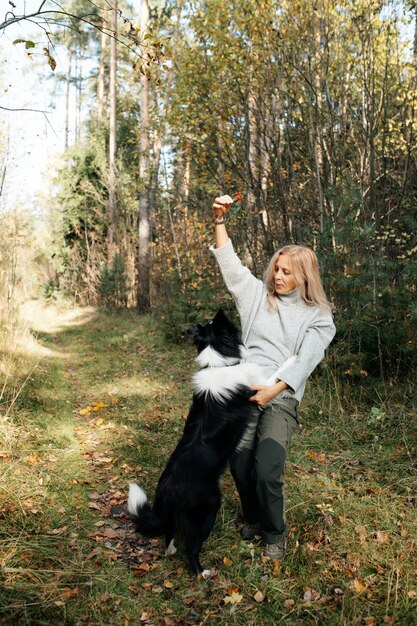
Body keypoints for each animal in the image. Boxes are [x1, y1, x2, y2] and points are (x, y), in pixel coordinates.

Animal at [127, 308, 264, 576]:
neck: (215, 363)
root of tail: (168, 491)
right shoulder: (252, 391)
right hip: (208, 508)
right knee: (192, 547)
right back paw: (202, 572)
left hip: (177, 517)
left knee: (169, 535)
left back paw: (171, 551)